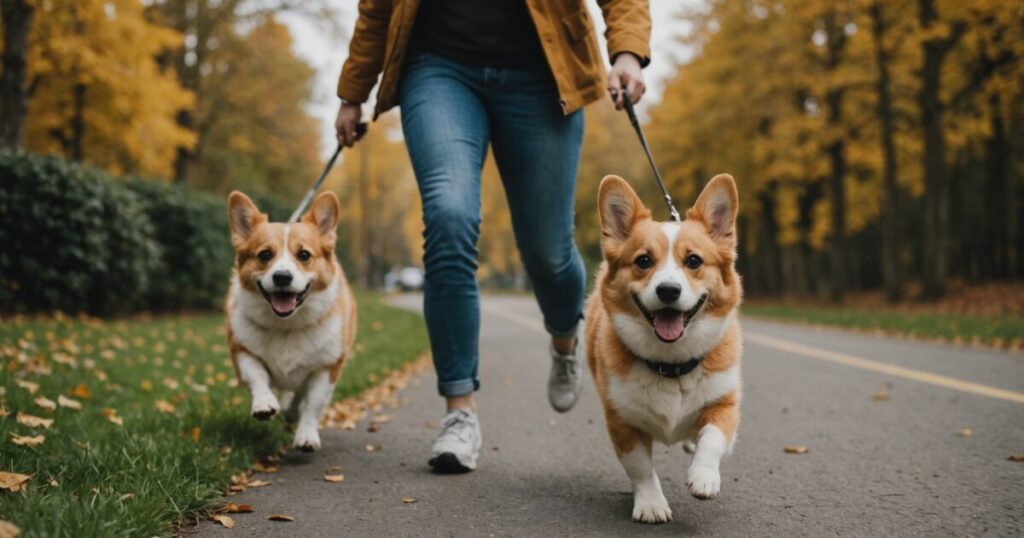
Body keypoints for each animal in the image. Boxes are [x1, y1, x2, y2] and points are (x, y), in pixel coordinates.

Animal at [224, 190, 356, 450]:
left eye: (304, 255)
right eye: (265, 255)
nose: (282, 277)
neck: (287, 326)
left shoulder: (327, 368)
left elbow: (312, 403)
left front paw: (306, 436)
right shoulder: (242, 350)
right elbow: (258, 376)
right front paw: (264, 405)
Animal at [585, 174, 745, 522]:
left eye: (694, 261)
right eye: (643, 261)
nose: (668, 290)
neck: (672, 364)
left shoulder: (724, 405)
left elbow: (712, 438)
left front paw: (703, 478)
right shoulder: (622, 422)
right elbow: (641, 468)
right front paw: (651, 505)